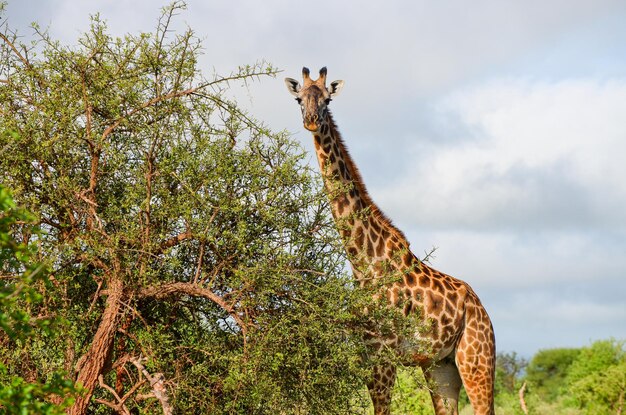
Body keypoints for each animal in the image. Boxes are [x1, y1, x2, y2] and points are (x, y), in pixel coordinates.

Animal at [286, 68, 494, 415]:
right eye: (299, 99)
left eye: (327, 100)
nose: (312, 121)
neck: (363, 261)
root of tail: (482, 309)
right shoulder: (368, 351)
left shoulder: (383, 353)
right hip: (441, 365)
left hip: (477, 359)